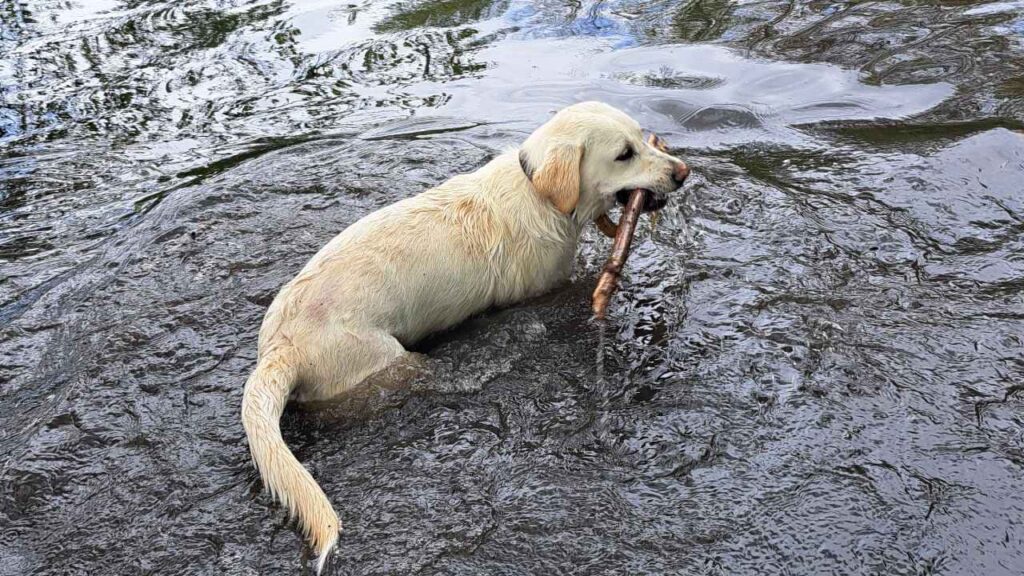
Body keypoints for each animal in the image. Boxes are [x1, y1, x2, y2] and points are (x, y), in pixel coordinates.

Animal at [239, 99, 688, 569]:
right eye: (624, 154)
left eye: (641, 137)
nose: (683, 171)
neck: (538, 193)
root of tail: (279, 349)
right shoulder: (547, 286)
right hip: (385, 360)